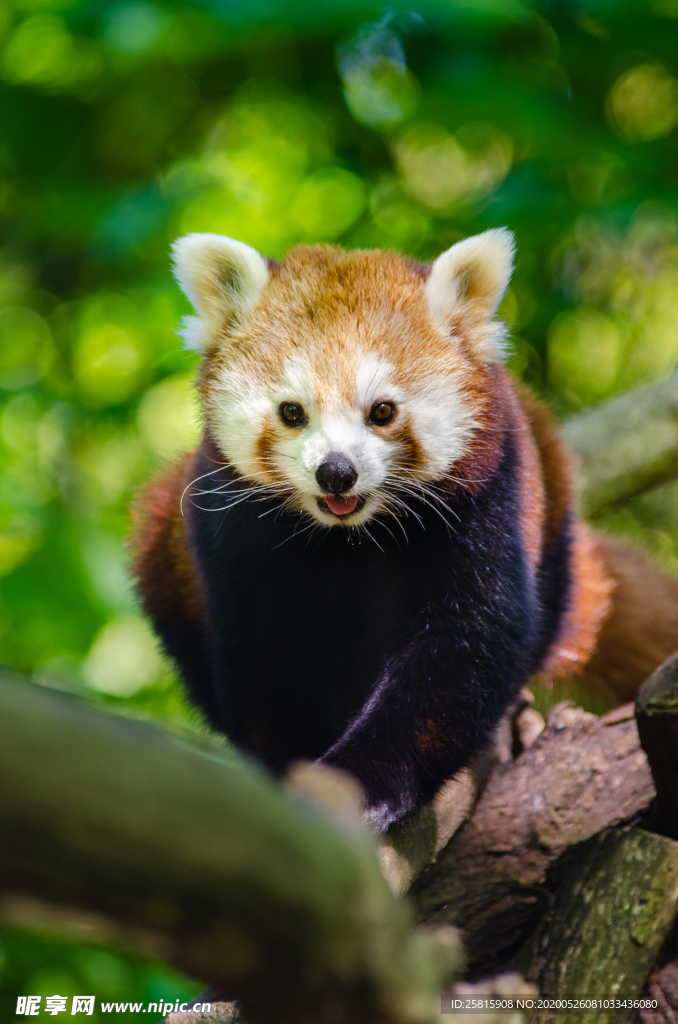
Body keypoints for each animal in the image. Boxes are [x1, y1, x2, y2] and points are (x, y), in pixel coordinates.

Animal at [131, 228, 678, 827]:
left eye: (383, 411)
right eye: (292, 412)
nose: (336, 471)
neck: (348, 538)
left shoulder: (485, 502)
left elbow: (463, 650)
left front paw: (360, 782)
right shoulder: (233, 537)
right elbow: (264, 665)